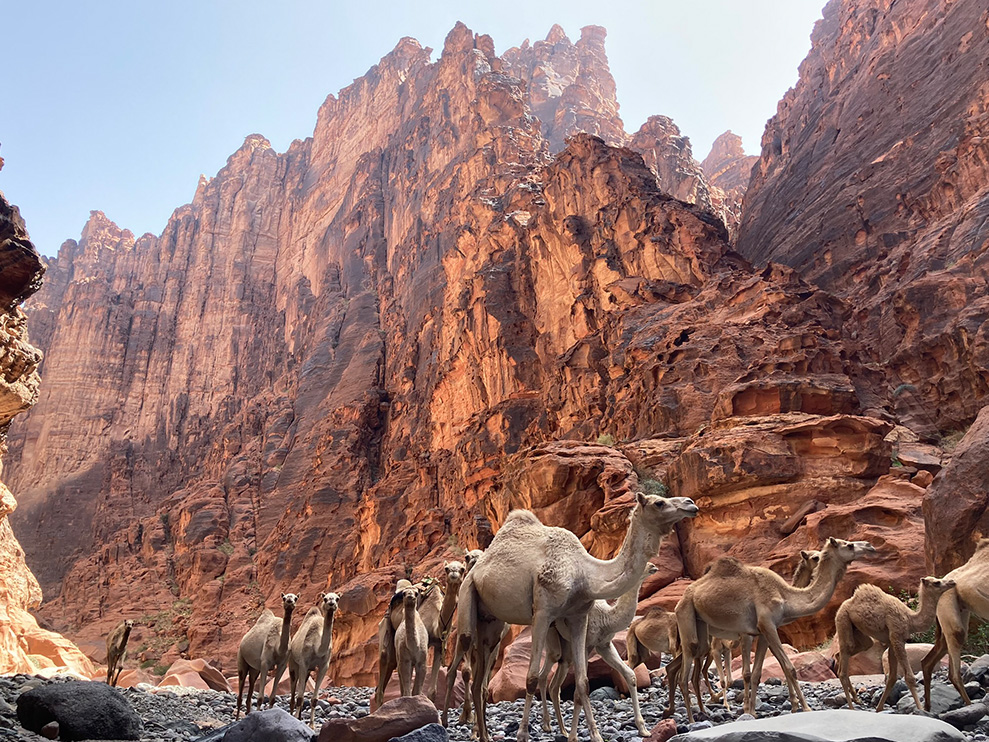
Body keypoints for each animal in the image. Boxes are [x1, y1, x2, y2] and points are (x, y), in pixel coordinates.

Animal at [288, 592, 340, 726]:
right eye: (325, 598)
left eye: (337, 598)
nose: (331, 603)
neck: (318, 648)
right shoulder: (303, 664)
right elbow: (300, 697)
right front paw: (297, 720)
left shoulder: (324, 666)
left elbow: (315, 699)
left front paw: (312, 725)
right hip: (293, 663)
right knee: (294, 691)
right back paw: (292, 716)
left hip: (308, 670)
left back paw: (300, 717)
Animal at [538, 562, 660, 737]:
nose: (653, 566)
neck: (607, 618)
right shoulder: (587, 645)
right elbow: (579, 689)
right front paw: (578, 735)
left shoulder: (604, 645)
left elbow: (630, 675)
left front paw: (644, 730)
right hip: (551, 636)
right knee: (544, 673)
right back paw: (548, 725)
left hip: (566, 649)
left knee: (555, 685)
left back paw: (563, 730)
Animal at [671, 537, 876, 722]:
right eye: (849, 545)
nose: (870, 546)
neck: (785, 596)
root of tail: (684, 596)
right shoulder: (766, 625)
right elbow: (788, 668)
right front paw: (805, 707)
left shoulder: (762, 632)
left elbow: (756, 674)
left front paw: (752, 711)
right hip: (686, 614)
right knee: (684, 674)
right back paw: (691, 718)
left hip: (701, 627)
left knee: (689, 669)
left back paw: (694, 711)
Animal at [835, 576, 955, 711]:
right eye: (936, 582)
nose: (952, 582)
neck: (910, 620)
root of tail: (844, 604)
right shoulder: (897, 638)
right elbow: (909, 677)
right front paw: (920, 709)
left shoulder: (892, 642)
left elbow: (892, 678)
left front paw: (879, 708)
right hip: (842, 619)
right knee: (843, 669)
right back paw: (852, 707)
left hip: (858, 630)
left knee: (853, 649)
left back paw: (857, 699)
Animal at [922, 538, 989, 710]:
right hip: (948, 606)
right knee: (953, 670)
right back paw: (970, 705)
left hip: (959, 611)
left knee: (928, 661)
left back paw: (927, 707)